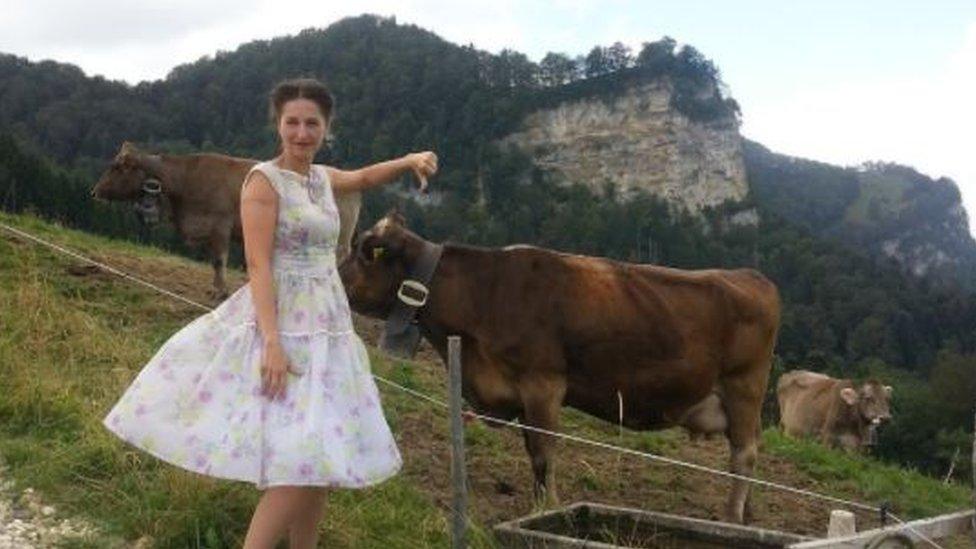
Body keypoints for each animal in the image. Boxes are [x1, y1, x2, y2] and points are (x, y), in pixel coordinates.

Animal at [92, 140, 362, 296]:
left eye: (118, 167)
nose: (94, 192)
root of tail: (342, 175)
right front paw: (215, 287)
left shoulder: (220, 225)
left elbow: (218, 260)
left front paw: (220, 291)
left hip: (333, 238)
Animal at [340, 211, 780, 524]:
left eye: (364, 253)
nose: (333, 275)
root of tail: (750, 276)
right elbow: (532, 451)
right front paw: (538, 506)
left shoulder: (543, 383)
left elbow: (543, 452)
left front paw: (547, 507)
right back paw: (745, 514)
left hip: (744, 386)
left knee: (744, 454)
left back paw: (731, 518)